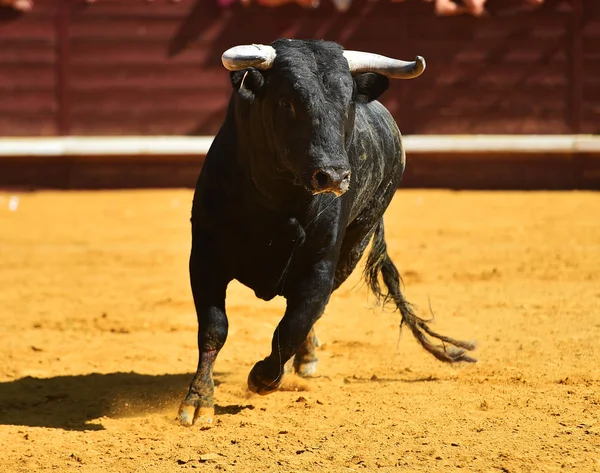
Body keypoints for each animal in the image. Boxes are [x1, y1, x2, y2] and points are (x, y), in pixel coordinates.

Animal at [176, 38, 476, 426]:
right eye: (286, 101)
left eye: (347, 102)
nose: (333, 175)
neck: (276, 204)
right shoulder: (205, 257)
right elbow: (214, 328)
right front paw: (198, 402)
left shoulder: (320, 267)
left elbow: (293, 325)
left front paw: (263, 377)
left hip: (355, 245)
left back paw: (301, 362)